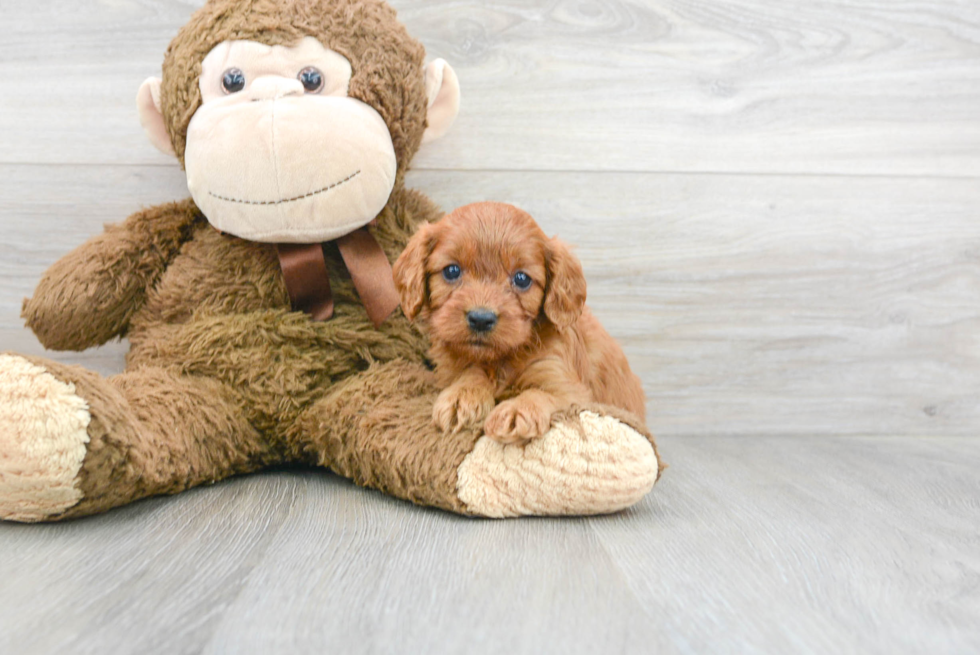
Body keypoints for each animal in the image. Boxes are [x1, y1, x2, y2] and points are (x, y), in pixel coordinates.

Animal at [394, 202, 648, 444]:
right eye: (452, 271)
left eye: (522, 279)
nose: (481, 319)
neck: (501, 359)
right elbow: (470, 372)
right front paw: (462, 395)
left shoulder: (569, 388)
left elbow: (543, 394)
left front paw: (517, 410)